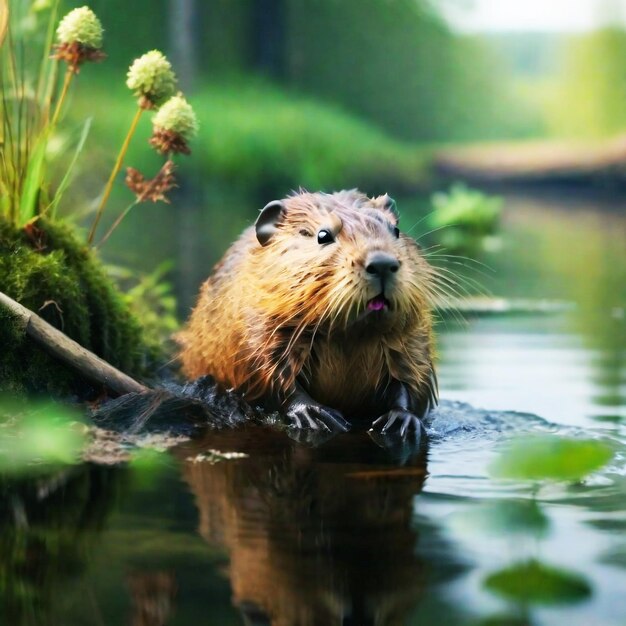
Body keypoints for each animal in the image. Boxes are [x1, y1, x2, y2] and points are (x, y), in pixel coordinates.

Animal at [178, 190, 436, 434]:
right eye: (323, 235)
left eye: (396, 230)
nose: (382, 263)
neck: (351, 337)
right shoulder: (255, 324)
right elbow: (267, 373)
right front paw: (315, 414)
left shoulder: (411, 339)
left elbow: (410, 377)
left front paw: (401, 419)